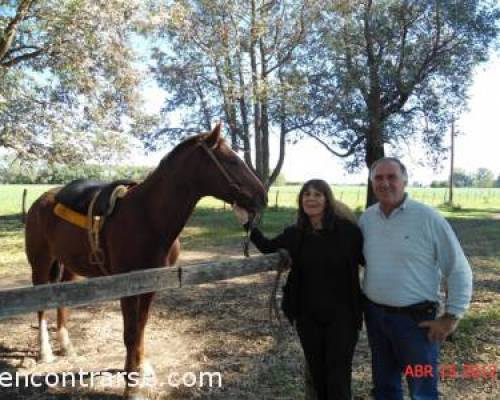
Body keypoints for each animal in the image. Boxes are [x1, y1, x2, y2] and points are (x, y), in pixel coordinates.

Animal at [24, 123, 266, 398]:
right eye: (232, 160)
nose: (262, 196)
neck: (148, 215)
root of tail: (41, 200)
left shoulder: (152, 282)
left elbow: (141, 327)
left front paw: (142, 368)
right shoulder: (127, 285)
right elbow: (130, 332)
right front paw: (132, 386)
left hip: (69, 266)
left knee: (60, 301)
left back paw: (66, 346)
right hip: (40, 262)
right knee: (40, 306)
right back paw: (45, 353)